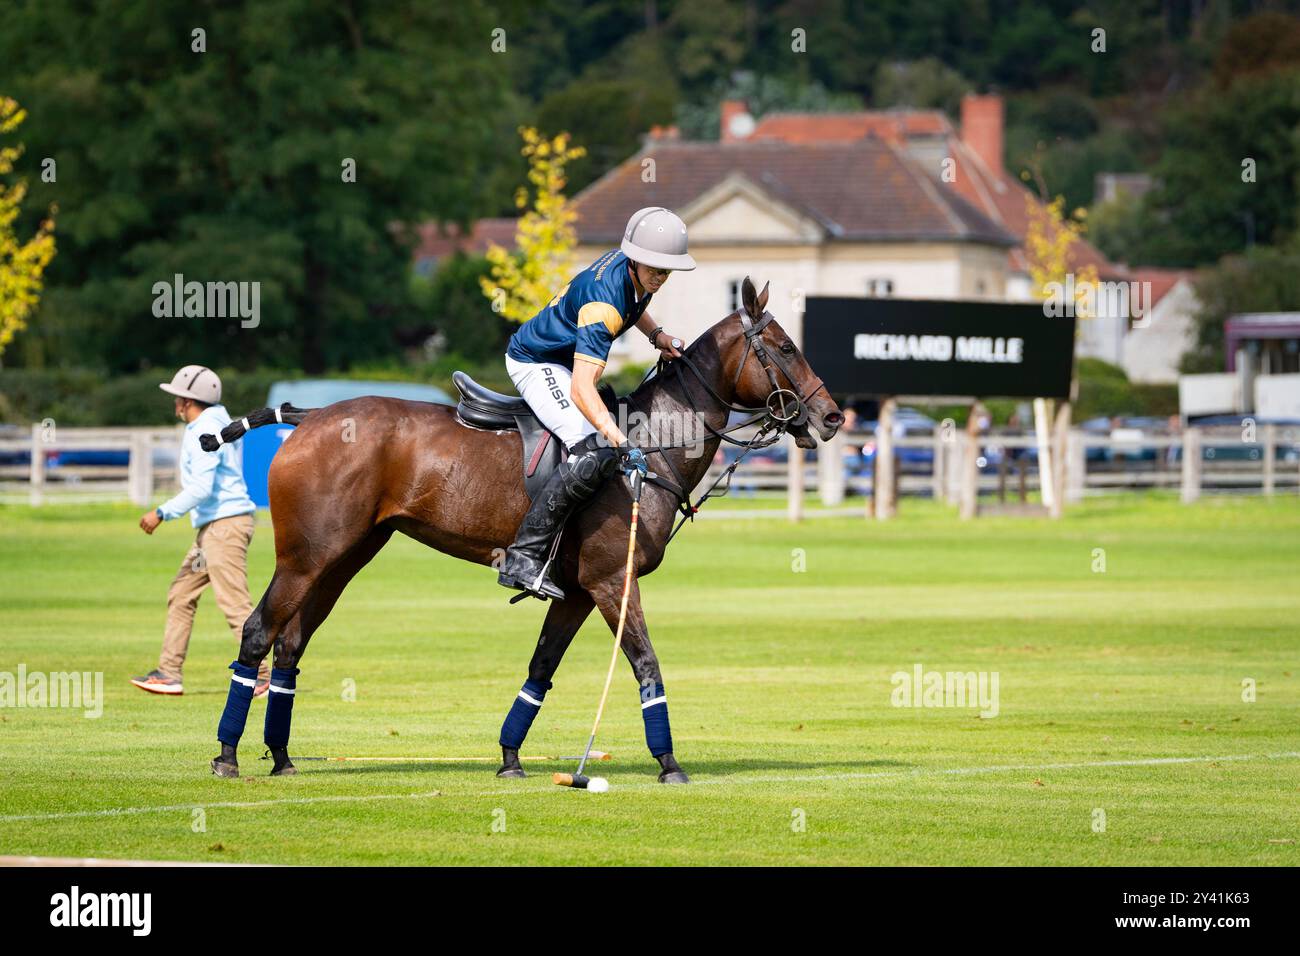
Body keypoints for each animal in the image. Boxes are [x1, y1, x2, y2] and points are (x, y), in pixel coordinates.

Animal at [205, 278, 842, 785]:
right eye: (786, 347)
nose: (833, 416)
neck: (646, 449)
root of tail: (311, 416)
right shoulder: (613, 582)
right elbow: (646, 665)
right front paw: (669, 765)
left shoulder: (579, 593)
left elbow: (540, 670)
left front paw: (510, 758)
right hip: (305, 556)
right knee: (259, 632)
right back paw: (228, 756)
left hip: (345, 557)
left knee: (291, 643)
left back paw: (281, 757)